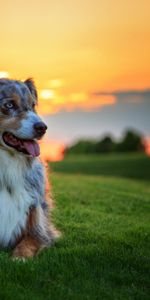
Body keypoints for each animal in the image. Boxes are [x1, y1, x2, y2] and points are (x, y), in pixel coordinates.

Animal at [0, 78, 58, 258]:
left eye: (33, 105)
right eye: (9, 105)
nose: (42, 127)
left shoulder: (39, 228)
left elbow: (27, 244)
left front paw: (18, 258)